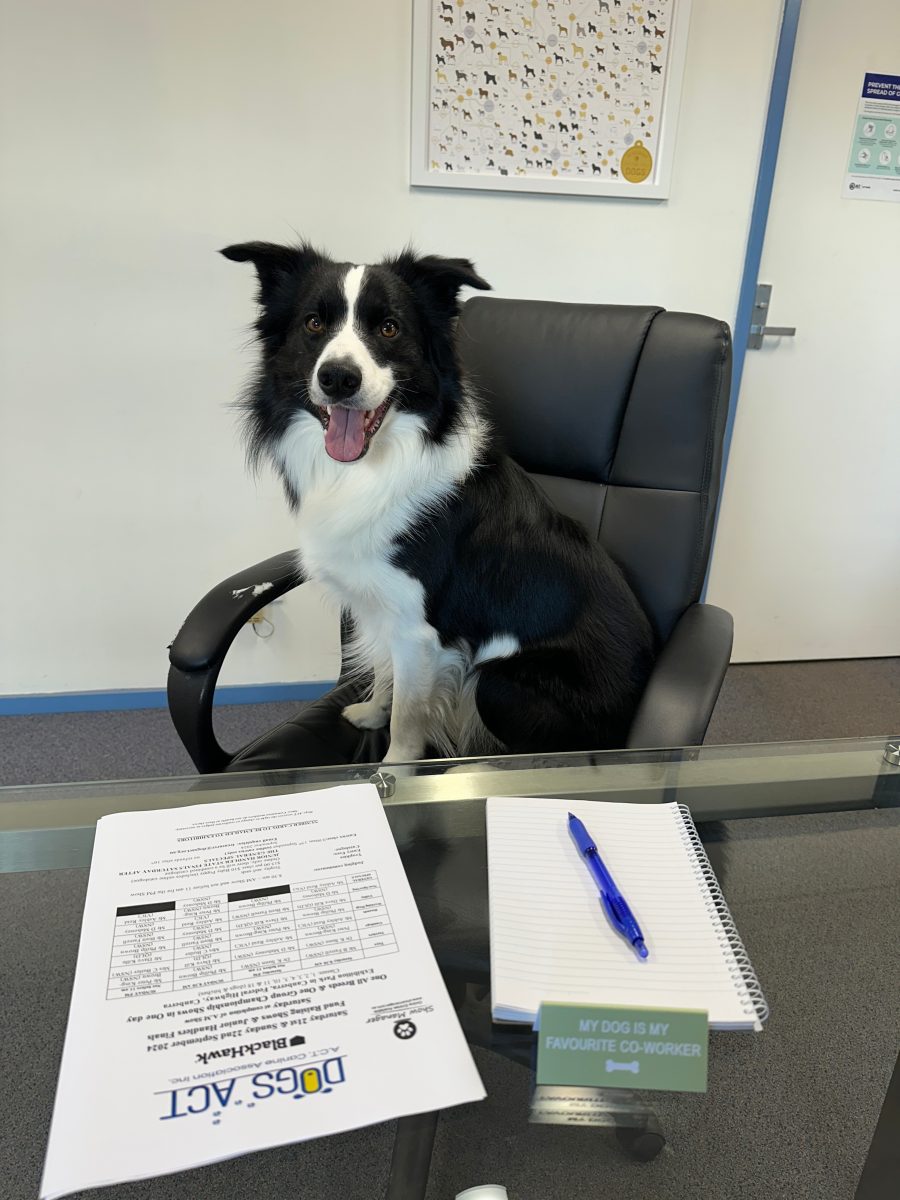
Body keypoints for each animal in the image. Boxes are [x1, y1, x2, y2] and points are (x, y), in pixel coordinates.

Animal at [220, 242, 652, 758]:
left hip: (501, 684)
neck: (373, 467)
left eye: (389, 327)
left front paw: (391, 767)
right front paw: (372, 713)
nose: (338, 378)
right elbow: (386, 674)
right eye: (313, 323)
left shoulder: (420, 629)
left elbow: (409, 719)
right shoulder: (384, 612)